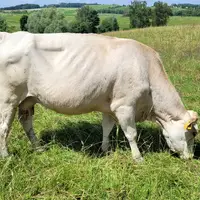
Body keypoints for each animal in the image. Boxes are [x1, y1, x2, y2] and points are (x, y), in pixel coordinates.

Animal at [0, 31, 198, 162]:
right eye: (193, 133)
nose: (191, 157)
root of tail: (9, 35)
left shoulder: (109, 106)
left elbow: (107, 128)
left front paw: (105, 149)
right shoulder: (125, 105)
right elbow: (131, 134)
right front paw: (138, 158)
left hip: (27, 99)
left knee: (26, 122)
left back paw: (39, 148)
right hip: (8, 99)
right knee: (4, 128)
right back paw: (6, 156)